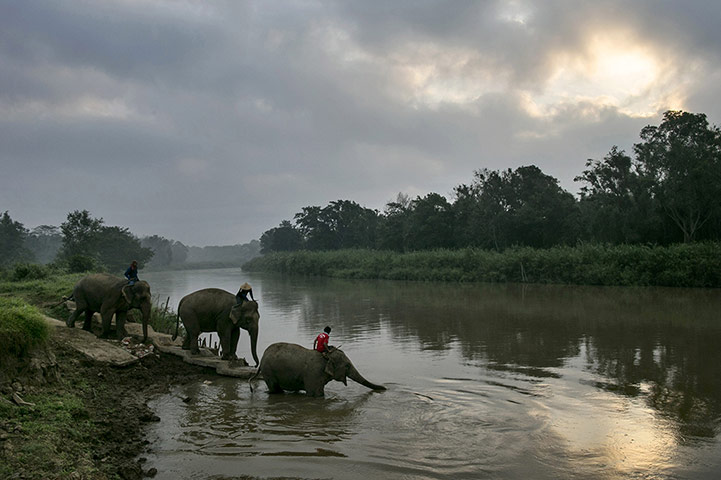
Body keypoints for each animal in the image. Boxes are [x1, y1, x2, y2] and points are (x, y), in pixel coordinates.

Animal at [249, 342, 386, 397]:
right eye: (347, 366)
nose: (385, 388)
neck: (327, 356)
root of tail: (262, 357)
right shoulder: (313, 374)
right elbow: (316, 394)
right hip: (268, 371)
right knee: (275, 389)